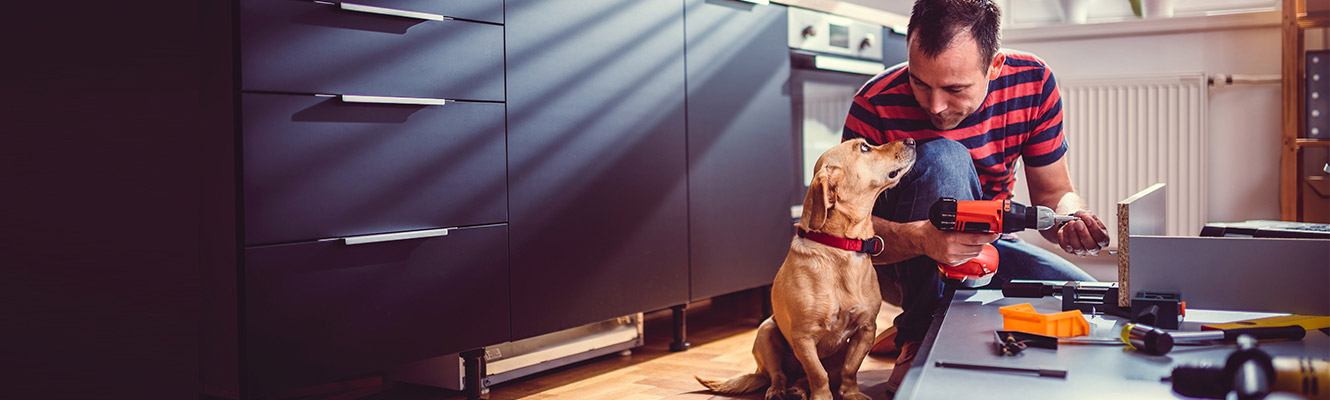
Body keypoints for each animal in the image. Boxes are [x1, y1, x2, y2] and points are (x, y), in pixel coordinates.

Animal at [696, 137, 915, 398]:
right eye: (864, 147)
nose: (912, 140)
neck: (841, 248)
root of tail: (758, 373)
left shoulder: (866, 329)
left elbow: (850, 369)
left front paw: (851, 393)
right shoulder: (803, 338)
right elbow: (817, 374)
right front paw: (822, 396)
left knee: (804, 378)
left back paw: (798, 390)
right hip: (765, 332)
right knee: (778, 375)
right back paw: (779, 390)